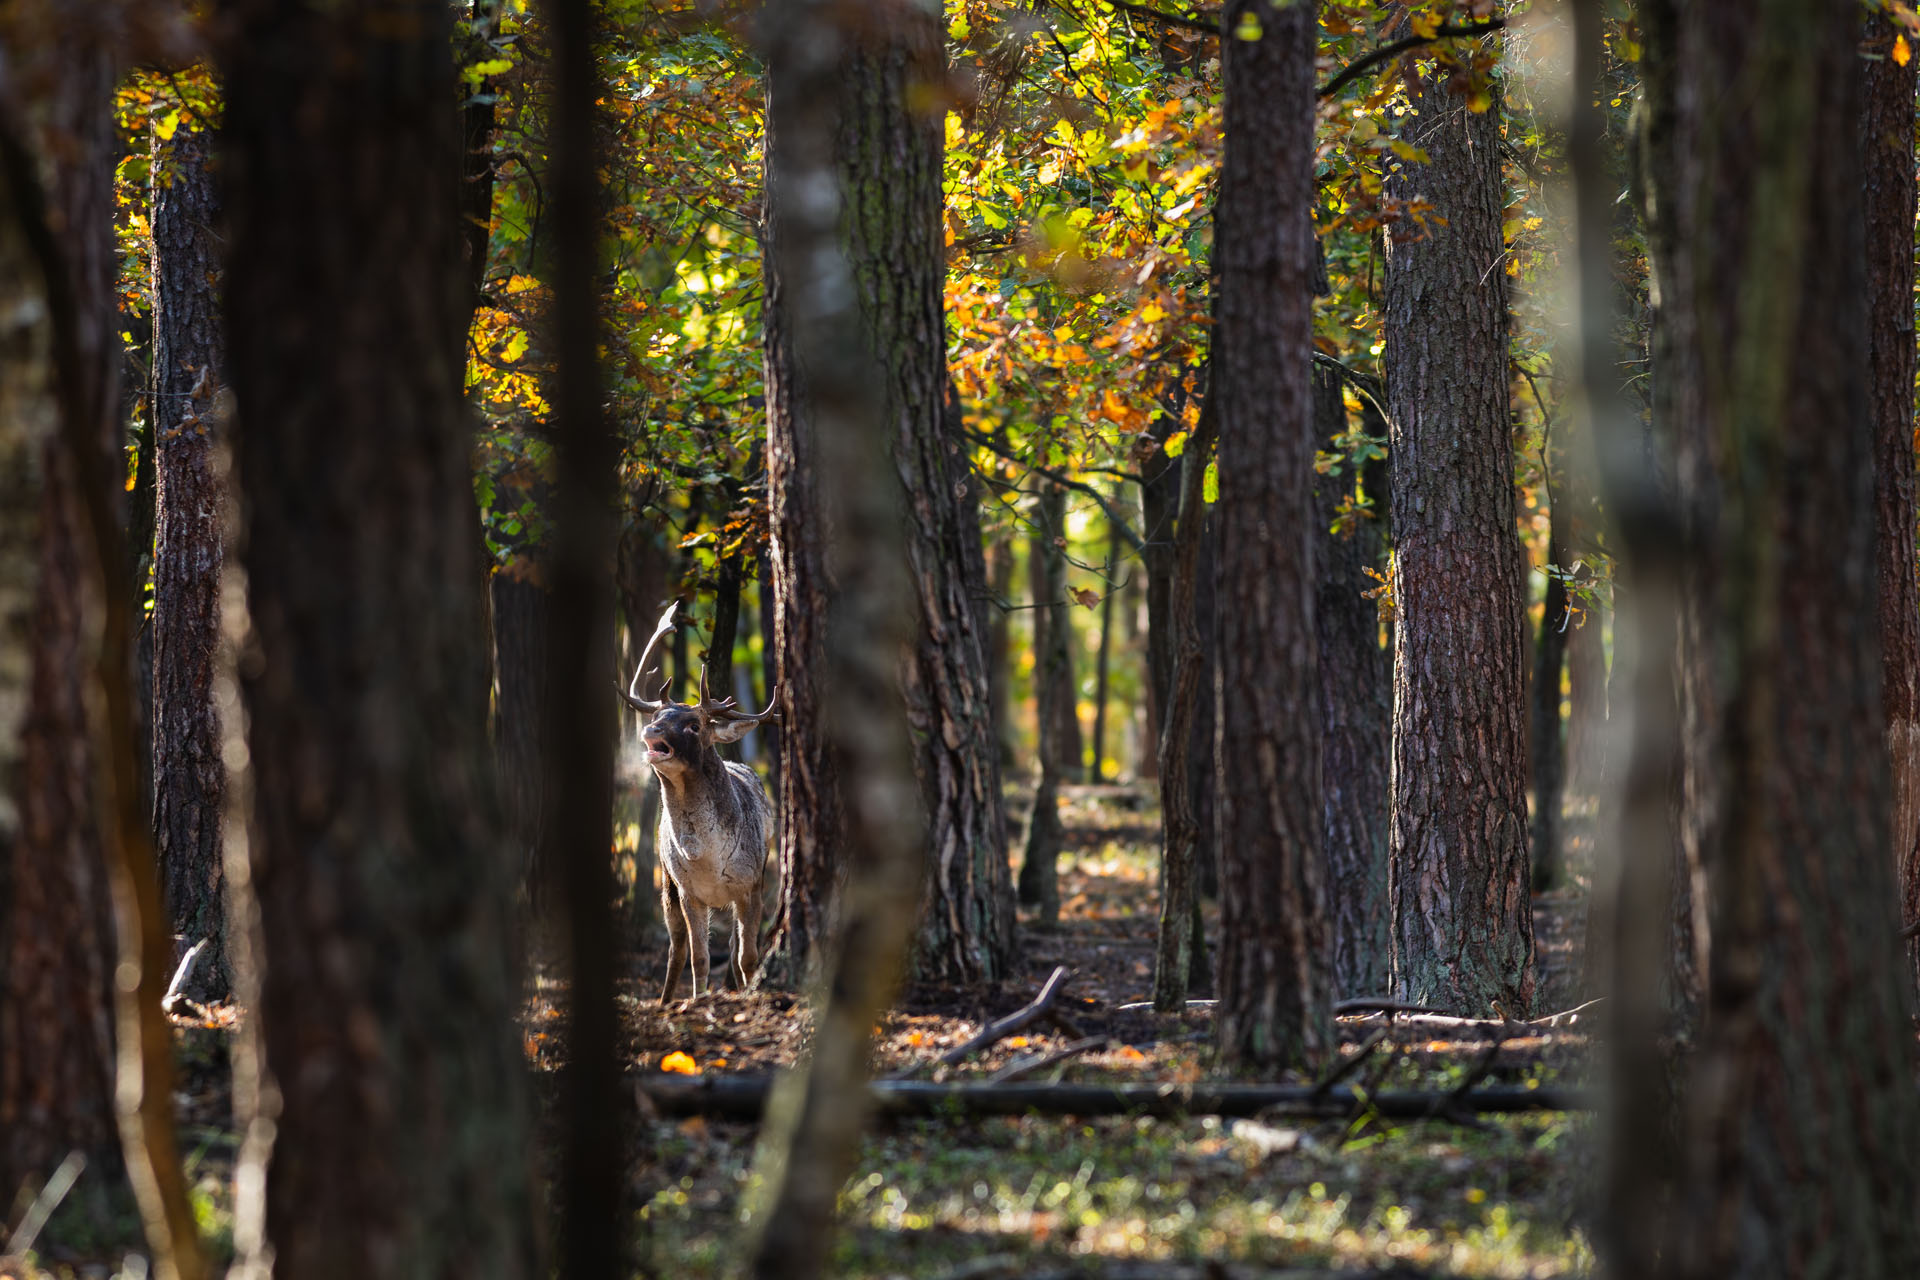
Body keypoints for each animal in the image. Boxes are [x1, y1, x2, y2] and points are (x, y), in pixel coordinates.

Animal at [621, 601, 779, 1003]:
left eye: (694, 724)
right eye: (658, 715)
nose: (651, 729)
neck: (706, 858)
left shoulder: (751, 883)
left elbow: (748, 954)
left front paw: (748, 994)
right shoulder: (689, 890)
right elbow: (699, 956)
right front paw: (698, 998)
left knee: (736, 946)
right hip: (666, 882)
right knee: (675, 948)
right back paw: (664, 1000)